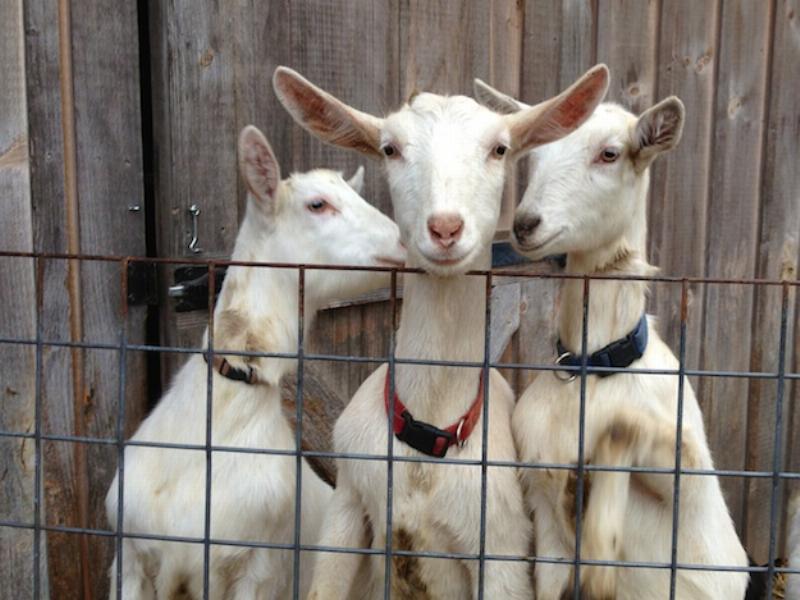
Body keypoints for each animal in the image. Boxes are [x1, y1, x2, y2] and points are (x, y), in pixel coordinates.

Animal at [272, 63, 608, 596]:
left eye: (499, 148)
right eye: (390, 148)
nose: (446, 228)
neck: (427, 435)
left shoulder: (502, 549)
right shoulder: (347, 508)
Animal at [476, 81, 752, 600]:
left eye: (610, 153)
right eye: (534, 155)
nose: (525, 224)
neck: (597, 368)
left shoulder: (692, 483)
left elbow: (625, 428)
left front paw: (600, 544)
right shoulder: (542, 510)